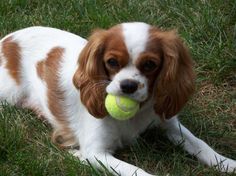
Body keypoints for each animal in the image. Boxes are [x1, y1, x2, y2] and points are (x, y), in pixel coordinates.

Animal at [0, 22, 235, 175]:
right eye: (112, 62)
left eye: (150, 64)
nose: (128, 85)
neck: (137, 113)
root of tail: (6, 40)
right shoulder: (97, 154)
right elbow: (138, 172)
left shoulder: (168, 124)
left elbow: (200, 144)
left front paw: (226, 163)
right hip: (8, 96)